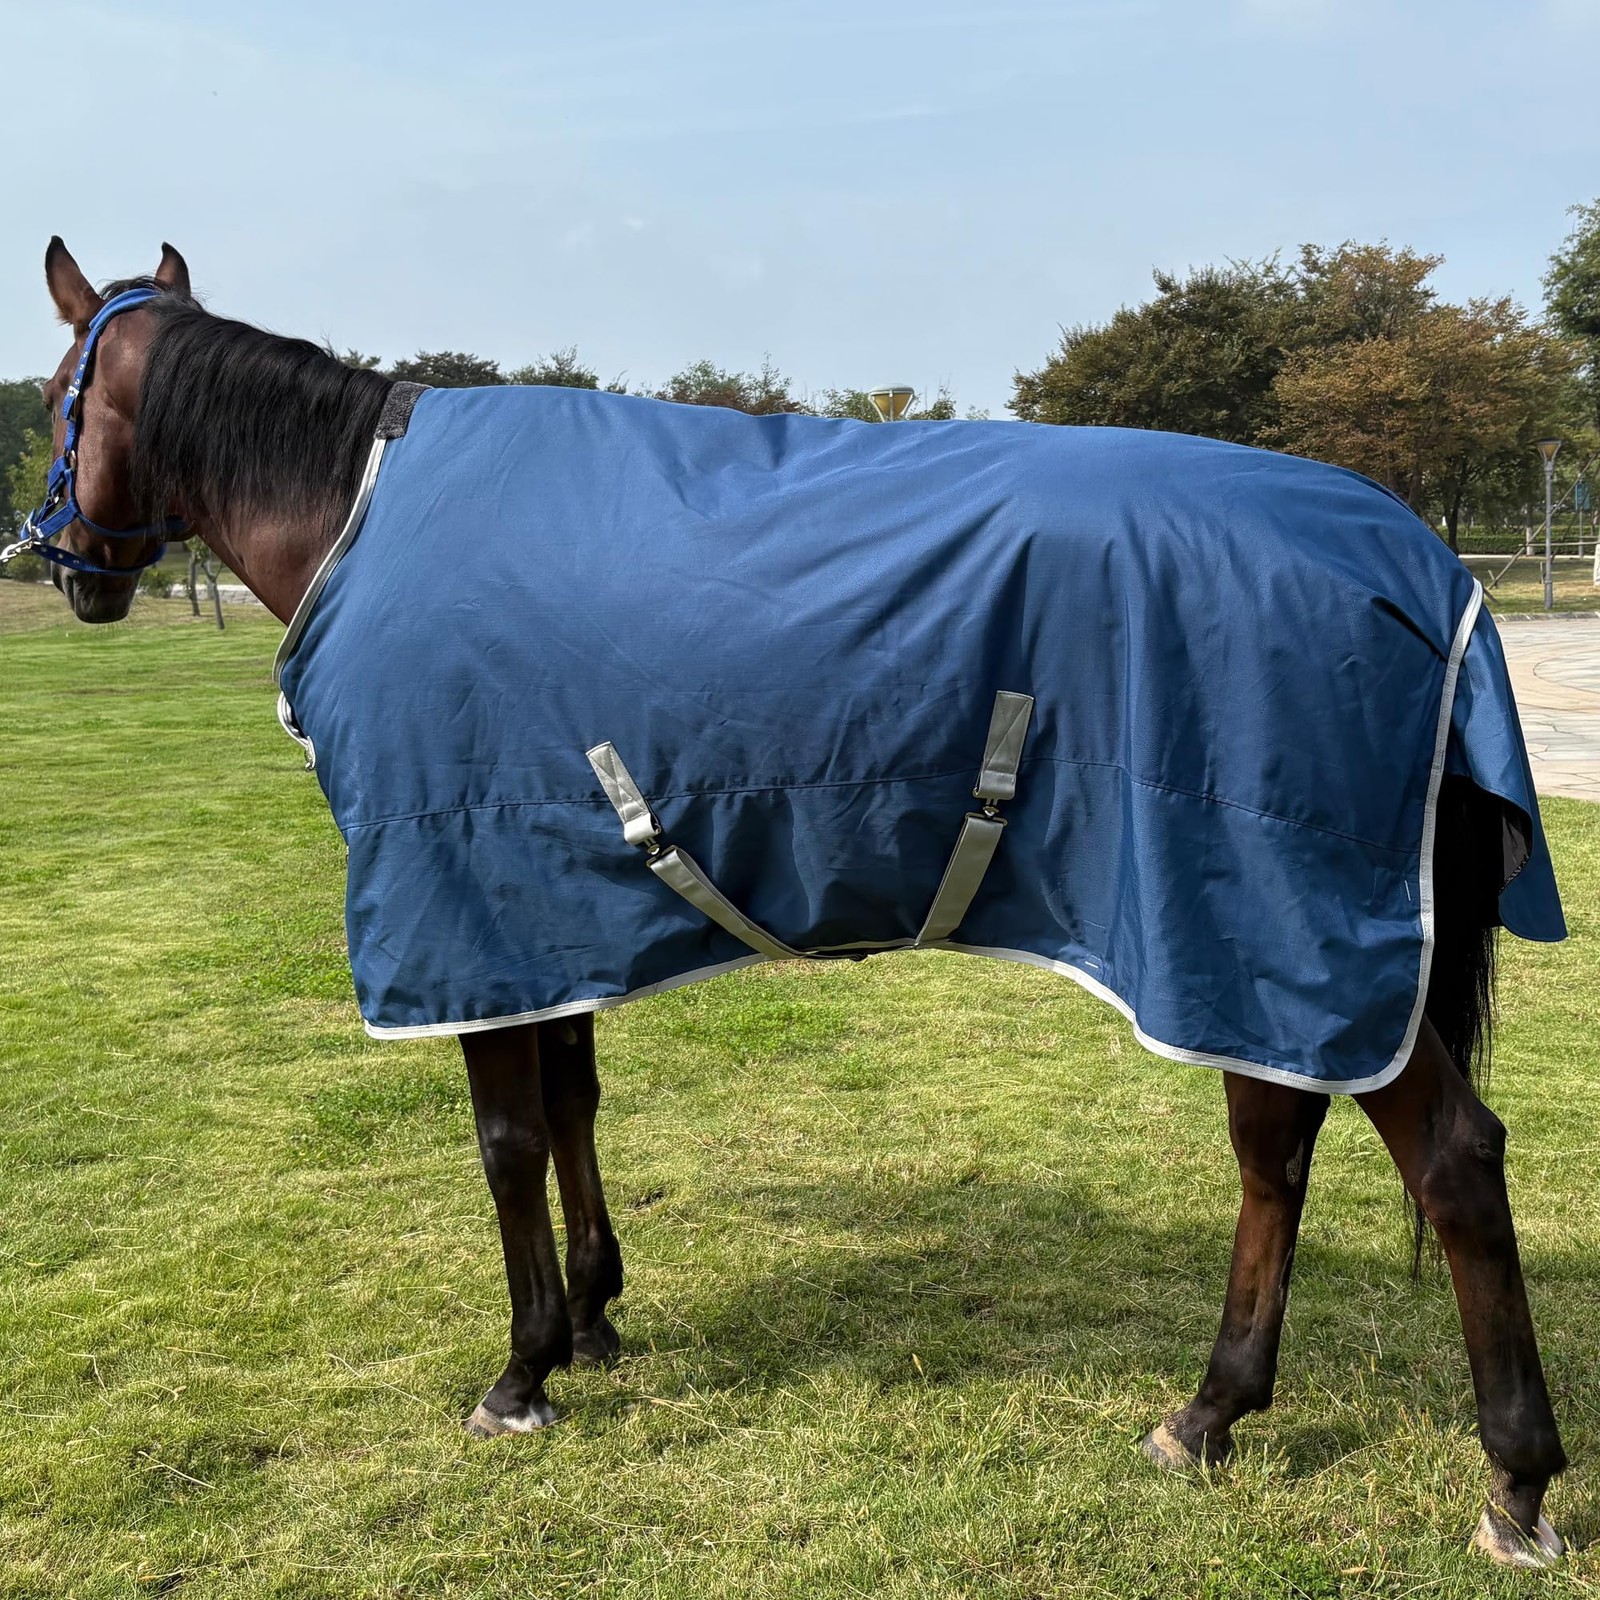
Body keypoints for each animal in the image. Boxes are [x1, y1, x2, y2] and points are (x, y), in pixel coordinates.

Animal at [8, 238, 1570, 1568]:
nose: (67, 569)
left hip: (1280, 922)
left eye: (62, 396)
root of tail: (1423, 560)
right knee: (1274, 1147)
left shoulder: (463, 908)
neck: (363, 510)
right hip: (1243, 945)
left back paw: (1515, 1483)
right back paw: (1209, 1414)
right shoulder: (549, 909)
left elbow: (508, 1142)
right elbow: (572, 1106)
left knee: (1451, 1162)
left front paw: (522, 1368)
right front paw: (596, 1315)